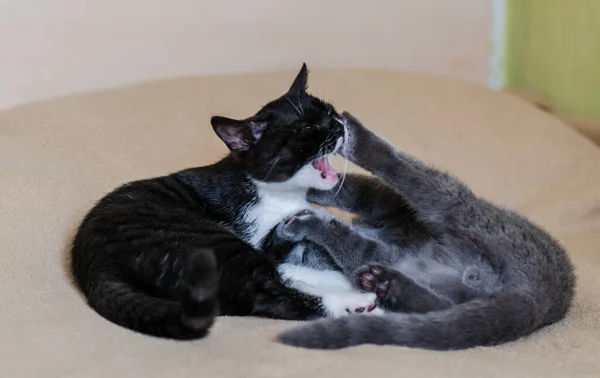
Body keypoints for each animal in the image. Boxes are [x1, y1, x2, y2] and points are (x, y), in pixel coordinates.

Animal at [70, 65, 378, 340]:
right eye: (307, 128)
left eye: (329, 112)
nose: (338, 125)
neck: (274, 193)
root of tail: (94, 267)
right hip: (203, 239)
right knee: (265, 295)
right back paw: (356, 302)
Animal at [274, 110, 576, 350]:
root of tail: (537, 295)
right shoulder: (392, 253)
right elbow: (350, 237)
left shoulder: (386, 202)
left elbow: (352, 189)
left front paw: (304, 191)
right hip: (438, 282)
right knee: (434, 305)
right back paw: (384, 283)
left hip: (457, 203)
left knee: (404, 171)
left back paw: (354, 134)